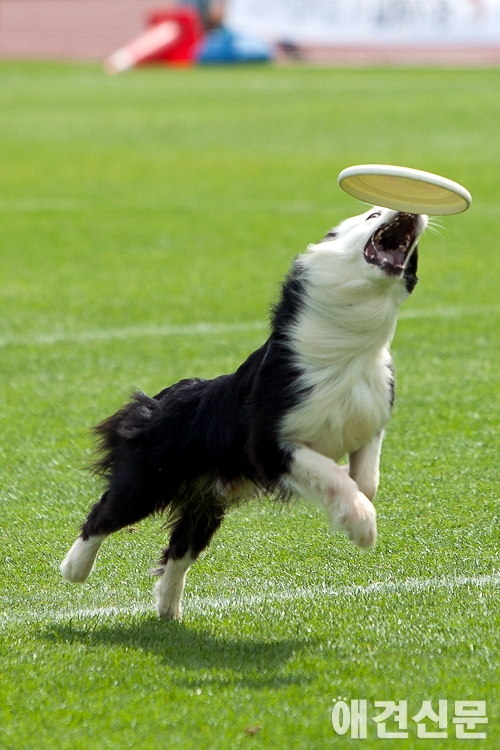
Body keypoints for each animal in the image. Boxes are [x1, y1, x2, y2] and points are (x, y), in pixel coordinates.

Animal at [58, 207, 426, 624]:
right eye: (372, 213)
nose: (413, 209)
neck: (350, 346)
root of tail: (157, 399)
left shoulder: (369, 420)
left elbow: (366, 479)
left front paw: (351, 506)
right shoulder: (268, 444)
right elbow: (333, 475)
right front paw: (362, 526)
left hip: (205, 503)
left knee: (180, 549)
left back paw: (169, 611)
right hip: (148, 479)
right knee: (102, 514)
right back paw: (74, 570)